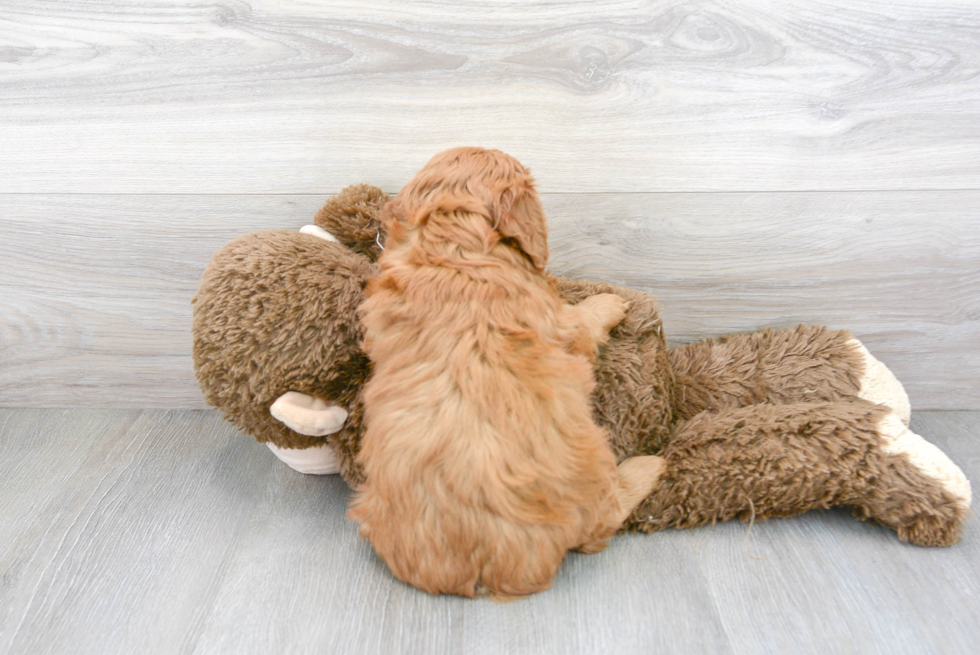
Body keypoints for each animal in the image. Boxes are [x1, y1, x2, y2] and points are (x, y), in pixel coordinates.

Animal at [348, 146, 664, 596]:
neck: (454, 251)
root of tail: (491, 565)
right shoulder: (561, 324)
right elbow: (584, 321)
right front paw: (609, 303)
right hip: (594, 466)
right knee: (606, 518)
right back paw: (648, 466)